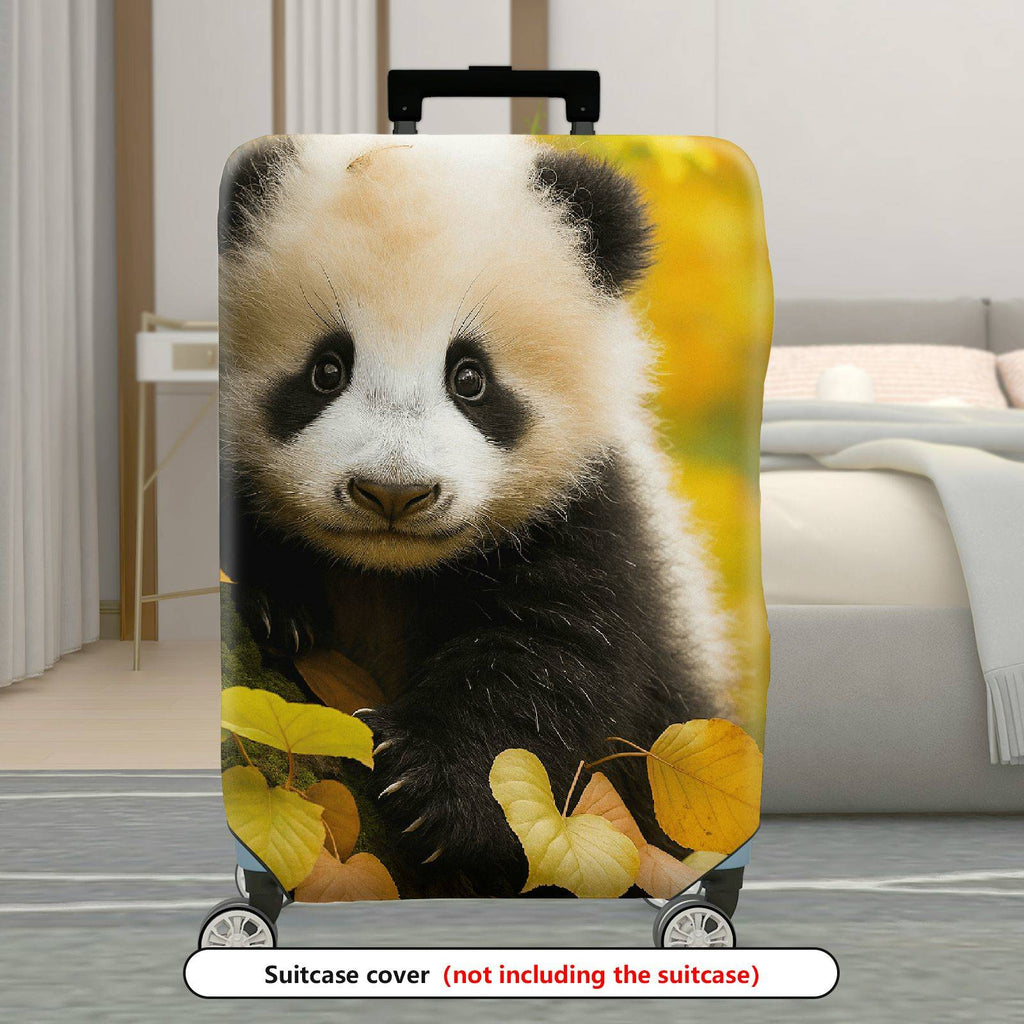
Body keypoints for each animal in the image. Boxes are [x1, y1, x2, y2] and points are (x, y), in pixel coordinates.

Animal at [219, 134, 733, 897]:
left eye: (470, 378)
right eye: (326, 370)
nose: (392, 493)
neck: (386, 571)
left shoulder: (588, 519)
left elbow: (547, 661)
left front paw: (430, 787)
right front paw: (275, 607)